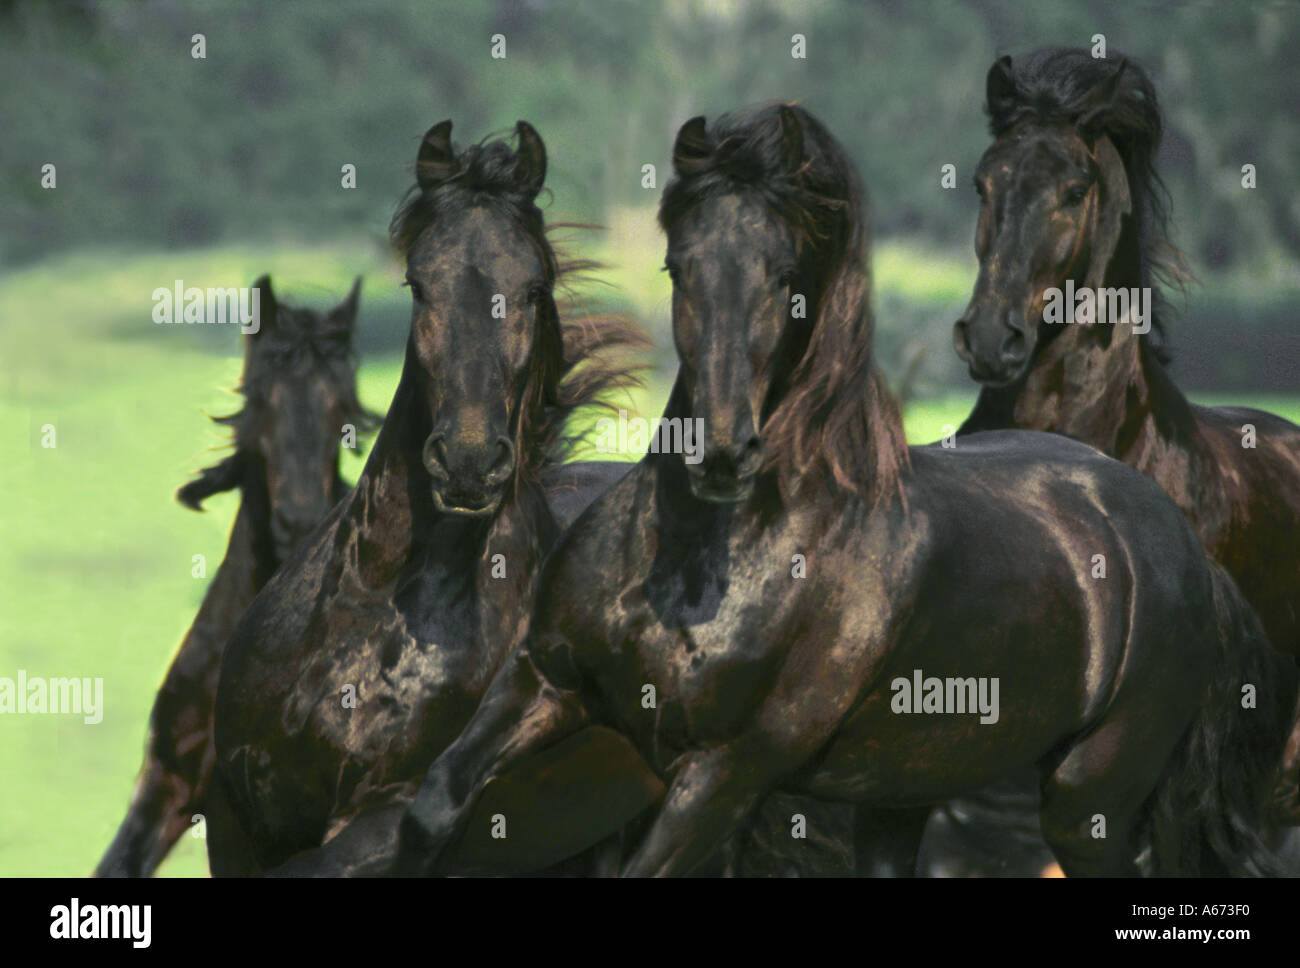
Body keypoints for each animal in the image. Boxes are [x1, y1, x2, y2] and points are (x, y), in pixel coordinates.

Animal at [206, 121, 650, 875]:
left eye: (534, 288)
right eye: (418, 286)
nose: (469, 463)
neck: (371, 613)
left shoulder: (383, 817)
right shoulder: (235, 819)